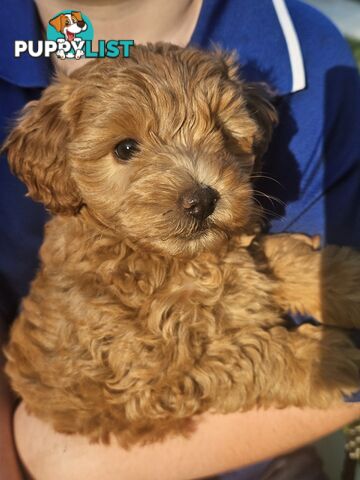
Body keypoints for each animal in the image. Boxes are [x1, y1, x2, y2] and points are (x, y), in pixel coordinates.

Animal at [2, 44, 360, 446]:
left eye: (221, 130)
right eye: (125, 148)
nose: (201, 201)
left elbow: (287, 259)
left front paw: (349, 281)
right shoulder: (155, 380)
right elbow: (250, 354)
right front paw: (326, 359)